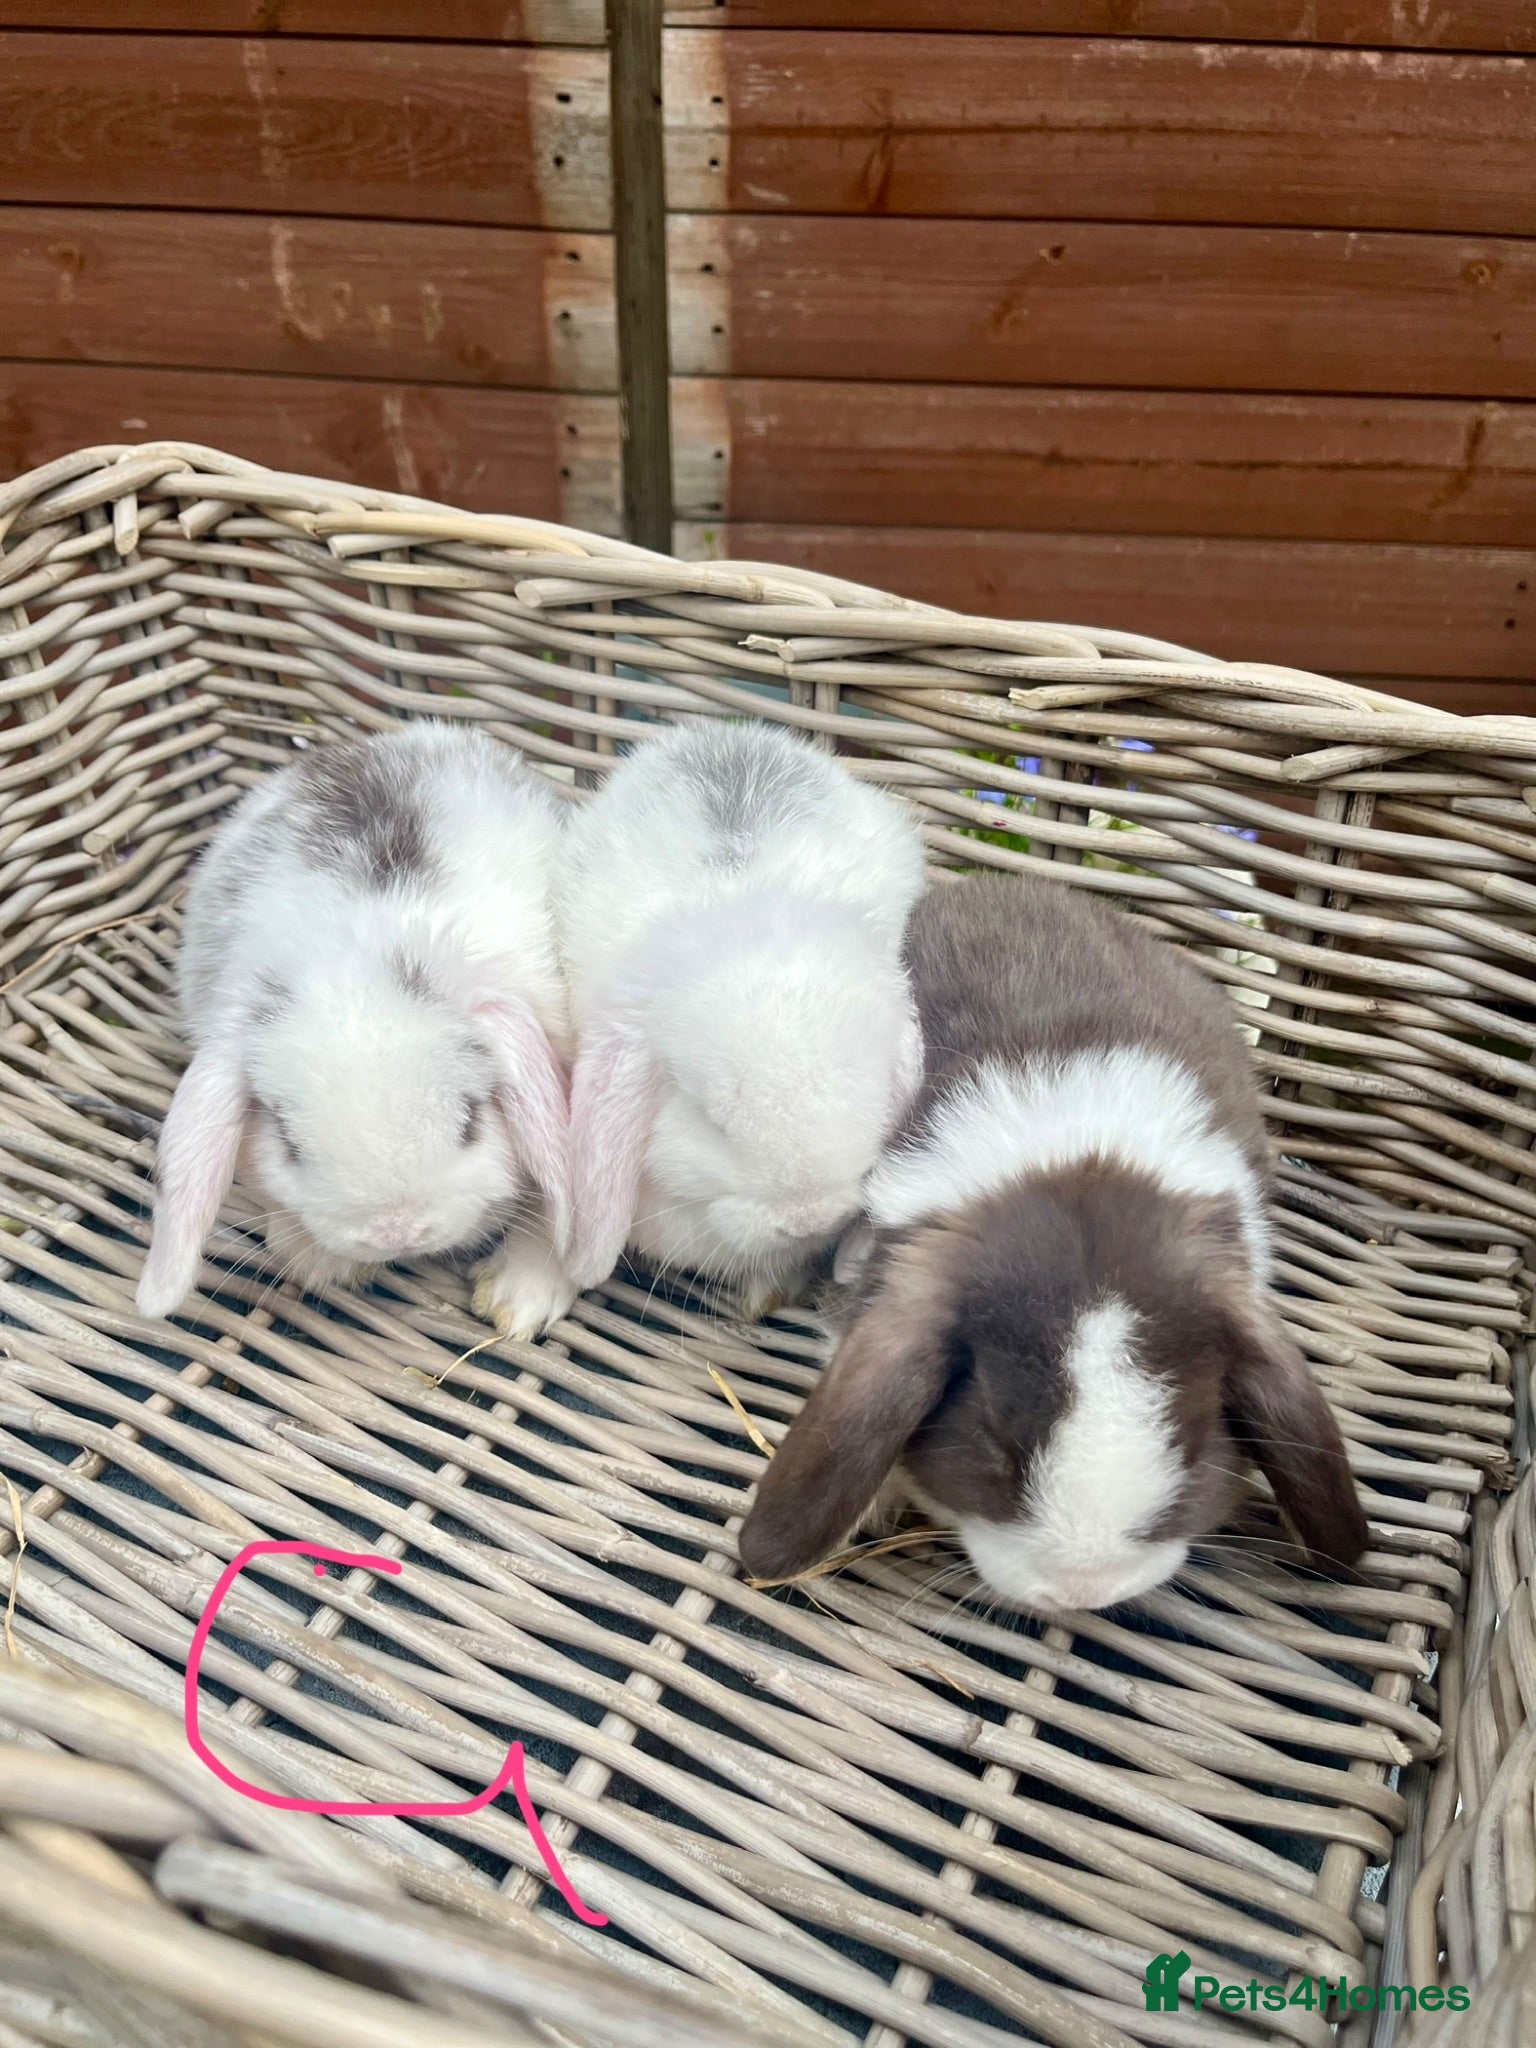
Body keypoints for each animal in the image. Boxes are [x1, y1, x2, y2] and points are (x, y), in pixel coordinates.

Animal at [137, 721, 578, 1338]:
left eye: (471, 1119)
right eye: (288, 1141)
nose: (395, 1231)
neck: (360, 957)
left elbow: (551, 1207)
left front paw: (519, 1301)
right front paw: (321, 1262)